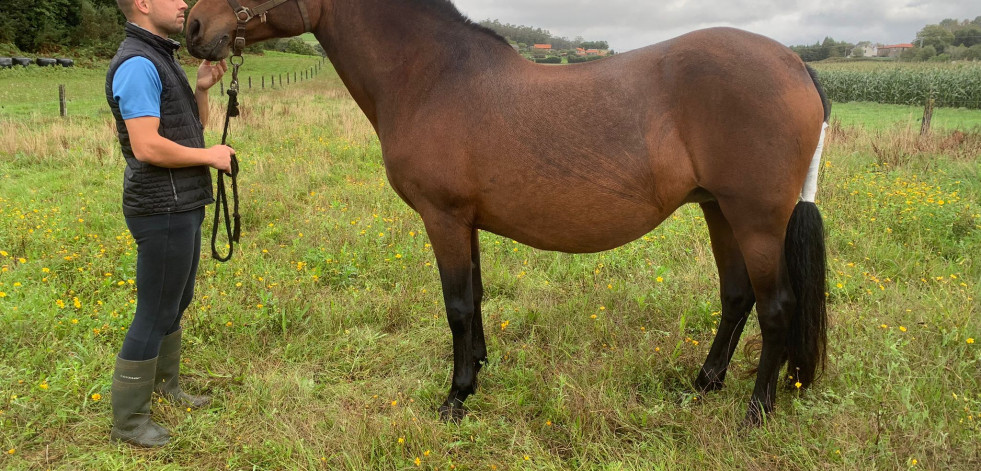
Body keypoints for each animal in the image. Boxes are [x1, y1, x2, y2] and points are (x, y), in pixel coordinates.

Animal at [184, 0, 828, 426]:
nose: (192, 24)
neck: (431, 76)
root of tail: (794, 64)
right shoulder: (464, 221)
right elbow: (476, 296)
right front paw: (478, 369)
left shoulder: (442, 217)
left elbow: (456, 304)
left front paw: (455, 397)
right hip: (719, 211)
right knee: (737, 297)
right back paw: (703, 384)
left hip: (756, 220)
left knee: (776, 307)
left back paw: (756, 410)